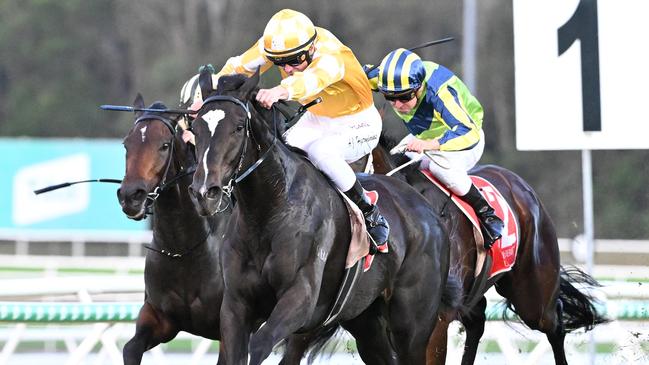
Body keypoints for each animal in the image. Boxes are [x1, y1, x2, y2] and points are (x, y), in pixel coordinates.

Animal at [117, 95, 229, 362]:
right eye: (126, 144)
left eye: (164, 145)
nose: (130, 196)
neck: (182, 248)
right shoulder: (159, 319)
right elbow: (130, 348)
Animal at [187, 69, 460, 364]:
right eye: (195, 128)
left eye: (238, 127)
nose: (204, 193)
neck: (269, 211)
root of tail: (429, 211)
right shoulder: (236, 305)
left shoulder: (301, 298)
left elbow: (259, 345)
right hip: (366, 321)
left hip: (412, 325)